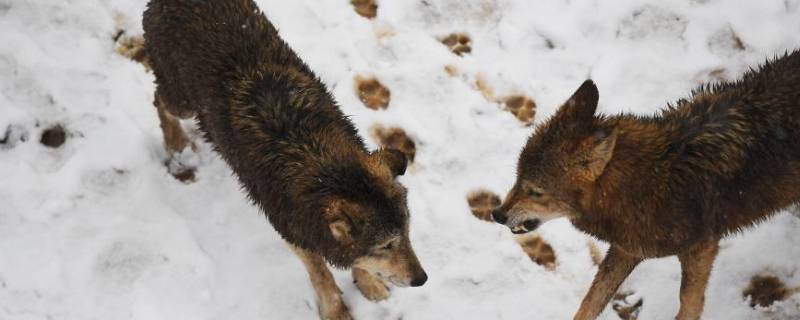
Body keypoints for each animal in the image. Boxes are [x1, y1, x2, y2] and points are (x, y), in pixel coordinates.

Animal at [141, 1, 428, 318]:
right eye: (386, 245)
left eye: (407, 233)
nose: (422, 279)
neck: (321, 162)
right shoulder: (292, 230)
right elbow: (320, 273)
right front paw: (336, 310)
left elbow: (354, 259)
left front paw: (369, 284)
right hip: (183, 103)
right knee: (158, 99)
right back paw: (176, 146)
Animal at [494, 50, 800, 320]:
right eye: (517, 178)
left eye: (535, 191)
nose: (497, 214)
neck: (651, 181)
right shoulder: (625, 249)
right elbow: (589, 302)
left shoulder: (702, 248)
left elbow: (688, 304)